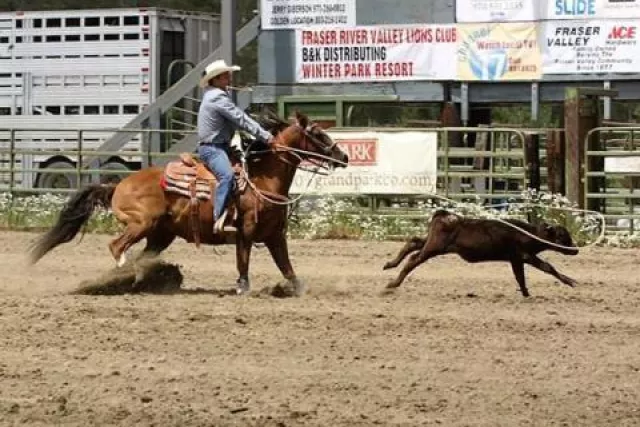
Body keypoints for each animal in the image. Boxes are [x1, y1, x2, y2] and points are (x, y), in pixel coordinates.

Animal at [27, 112, 350, 296]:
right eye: (318, 134)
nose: (344, 156)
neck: (262, 179)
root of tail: (118, 184)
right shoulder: (245, 232)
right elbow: (243, 262)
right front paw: (242, 287)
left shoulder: (274, 236)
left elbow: (288, 269)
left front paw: (298, 290)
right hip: (141, 223)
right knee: (117, 246)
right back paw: (123, 278)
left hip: (160, 235)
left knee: (140, 256)